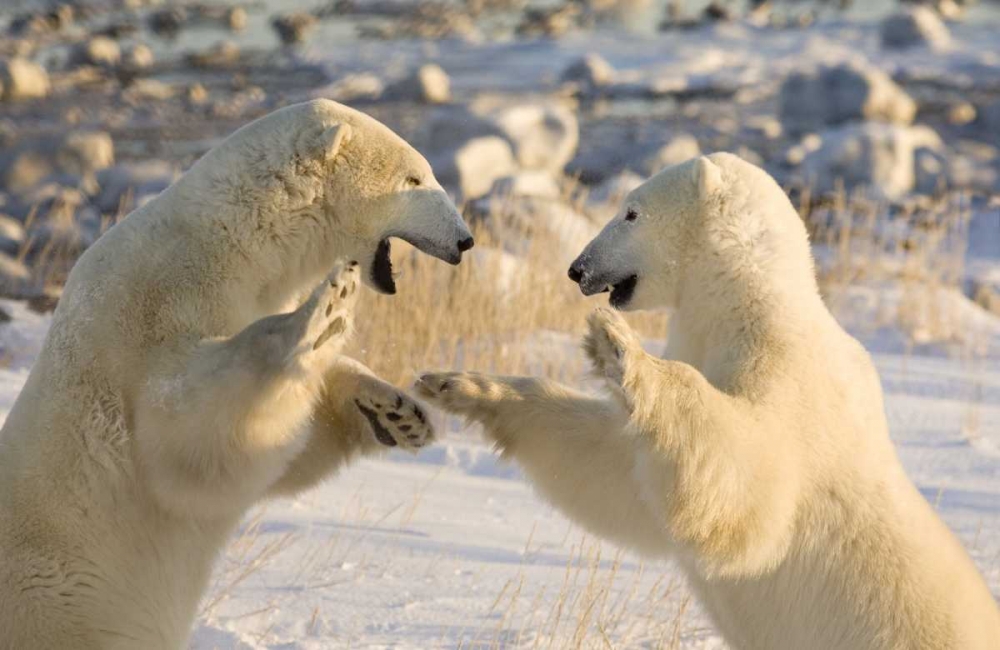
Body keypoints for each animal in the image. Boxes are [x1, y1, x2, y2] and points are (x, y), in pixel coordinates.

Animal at [0, 99, 474, 649]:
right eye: (414, 178)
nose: (466, 240)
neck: (233, 241)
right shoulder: (152, 306)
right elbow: (183, 432)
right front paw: (320, 316)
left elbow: (281, 450)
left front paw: (395, 411)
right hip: (56, 608)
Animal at [417, 153, 1000, 649]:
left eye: (631, 212)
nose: (577, 268)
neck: (745, 305)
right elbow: (619, 475)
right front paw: (461, 386)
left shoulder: (794, 378)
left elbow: (752, 485)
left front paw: (621, 351)